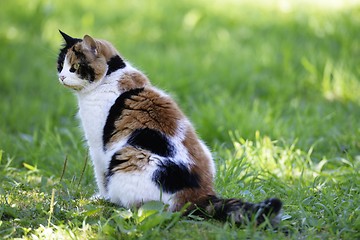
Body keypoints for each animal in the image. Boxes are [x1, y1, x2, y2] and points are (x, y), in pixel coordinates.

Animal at [57, 29, 282, 225]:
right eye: (60, 64)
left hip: (126, 158)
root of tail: (202, 195)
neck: (110, 76)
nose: (61, 77)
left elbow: (101, 175)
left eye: (74, 67)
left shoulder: (98, 147)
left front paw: (101, 197)